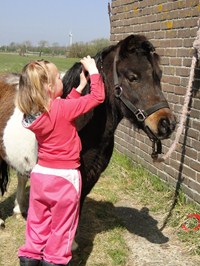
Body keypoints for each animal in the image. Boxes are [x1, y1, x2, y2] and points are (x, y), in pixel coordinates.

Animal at [0, 34, 175, 227]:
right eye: (132, 77)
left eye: (159, 76)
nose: (166, 124)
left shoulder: (89, 179)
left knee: (21, 176)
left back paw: (18, 210)